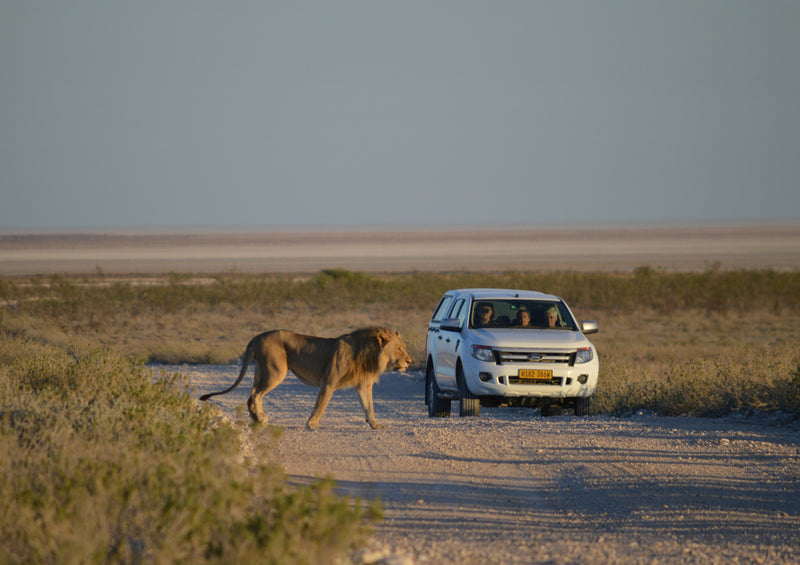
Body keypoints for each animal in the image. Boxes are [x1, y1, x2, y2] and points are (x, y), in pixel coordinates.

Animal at [200, 326, 412, 428]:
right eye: (400, 349)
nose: (410, 361)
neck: (368, 353)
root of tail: (256, 337)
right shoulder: (328, 381)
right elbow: (321, 404)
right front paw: (312, 424)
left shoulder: (363, 385)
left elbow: (369, 407)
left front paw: (375, 425)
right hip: (276, 371)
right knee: (256, 394)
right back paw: (260, 417)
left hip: (261, 370)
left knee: (251, 394)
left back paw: (256, 418)